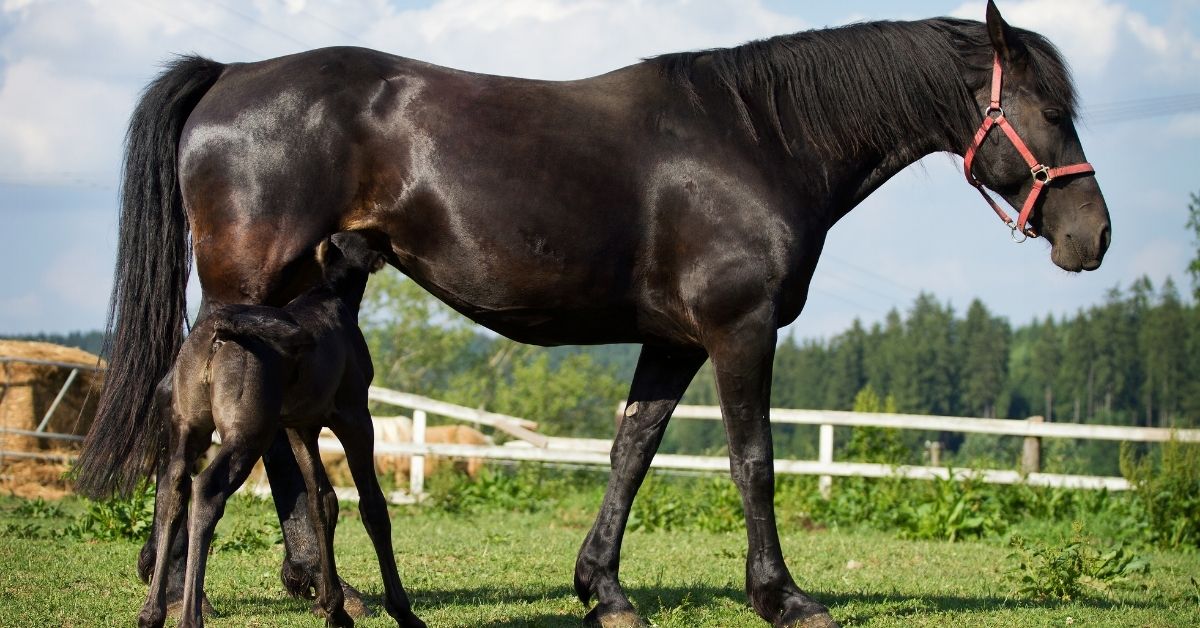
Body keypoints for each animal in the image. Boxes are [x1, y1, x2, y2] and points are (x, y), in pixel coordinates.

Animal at [137, 231, 422, 628]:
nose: (392, 250)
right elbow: (373, 506)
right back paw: (191, 616)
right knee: (207, 489)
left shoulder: (301, 428)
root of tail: (219, 332)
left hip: (188, 429)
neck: (330, 297)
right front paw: (403, 611)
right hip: (247, 434)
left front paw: (335, 609)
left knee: (172, 490)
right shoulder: (355, 417)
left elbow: (322, 501)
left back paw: (152, 612)